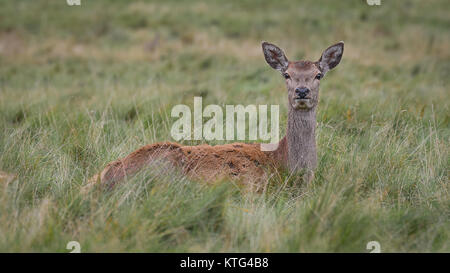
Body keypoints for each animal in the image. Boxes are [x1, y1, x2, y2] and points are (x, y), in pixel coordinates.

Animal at [83, 41, 344, 192]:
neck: (288, 165)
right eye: (287, 74)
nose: (302, 91)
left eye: (318, 74)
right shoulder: (255, 188)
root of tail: (103, 177)